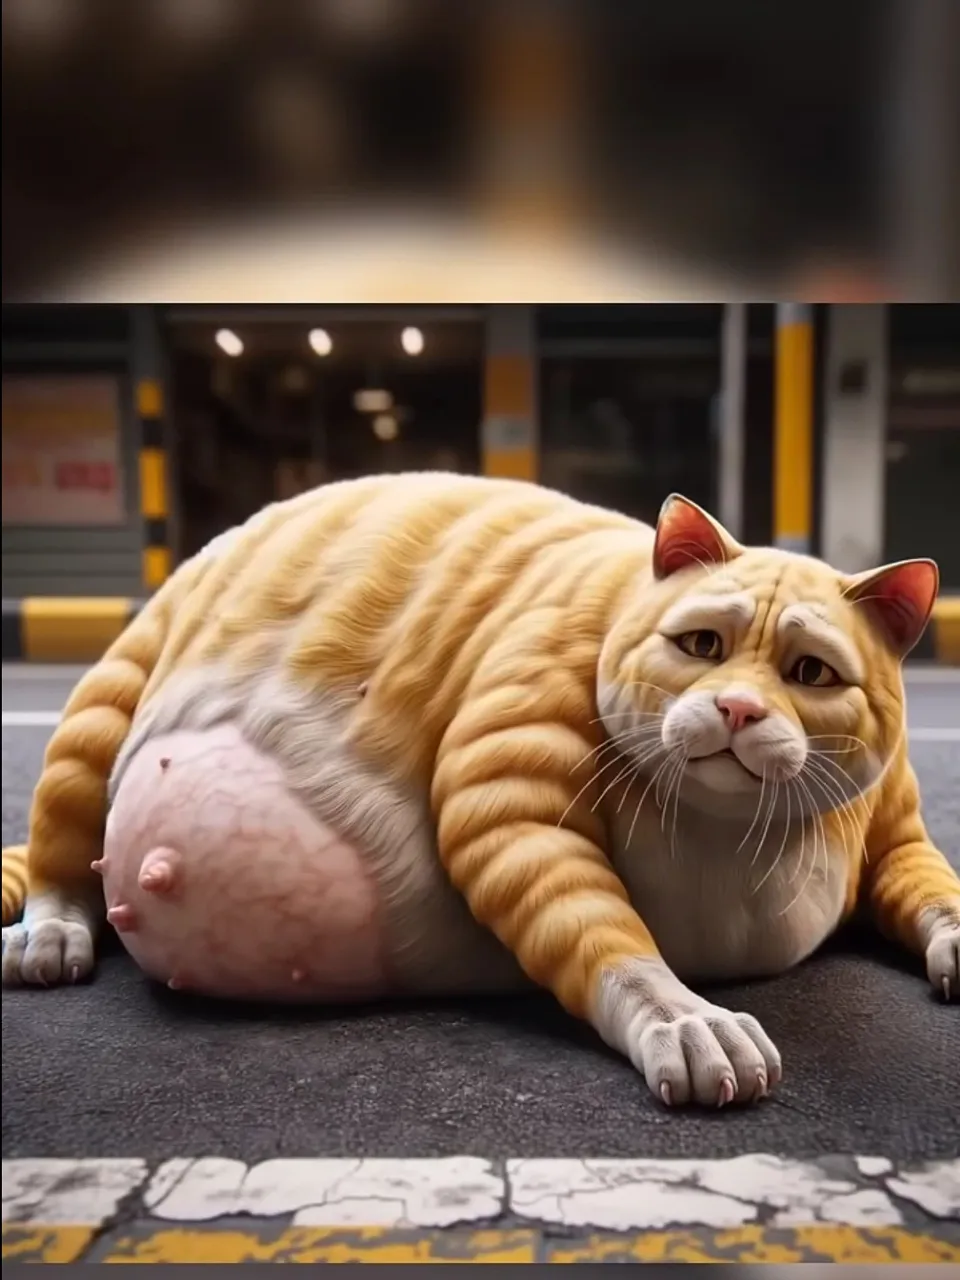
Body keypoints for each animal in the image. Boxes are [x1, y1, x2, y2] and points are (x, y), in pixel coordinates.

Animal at [1, 476, 960, 1105]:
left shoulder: (898, 834)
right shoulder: (508, 796)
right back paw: (51, 931)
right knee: (61, 843)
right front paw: (690, 1022)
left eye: (811, 672)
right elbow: (603, 933)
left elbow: (933, 888)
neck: (728, 834)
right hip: (105, 702)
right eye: (702, 646)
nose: (737, 707)